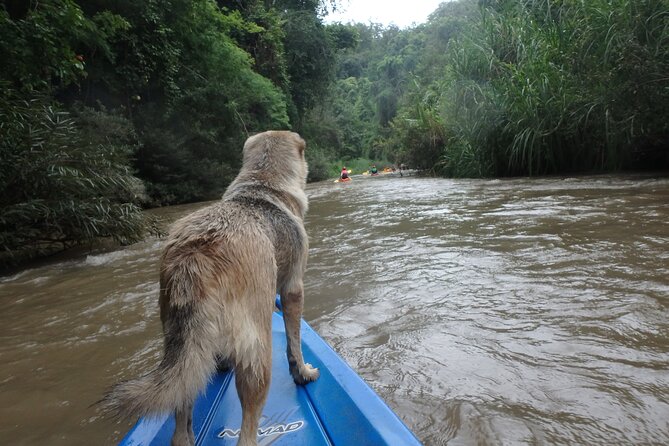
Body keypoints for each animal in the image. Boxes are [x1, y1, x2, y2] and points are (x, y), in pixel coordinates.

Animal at [102, 132, 318, 446]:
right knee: (247, 430)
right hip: (257, 355)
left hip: (183, 347)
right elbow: (295, 343)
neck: (262, 185)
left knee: (181, 419)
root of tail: (195, 254)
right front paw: (302, 372)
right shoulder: (292, 289)